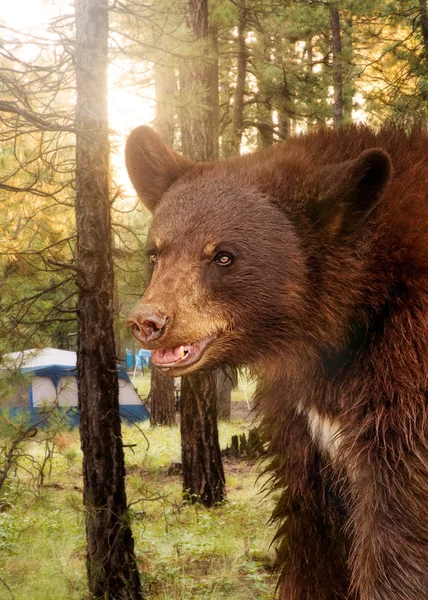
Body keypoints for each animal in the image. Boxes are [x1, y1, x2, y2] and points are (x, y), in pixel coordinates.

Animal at [125, 123, 428, 600]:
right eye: (155, 252)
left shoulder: (405, 379)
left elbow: (398, 527)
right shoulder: (303, 420)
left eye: (223, 255)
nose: (146, 322)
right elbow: (310, 526)